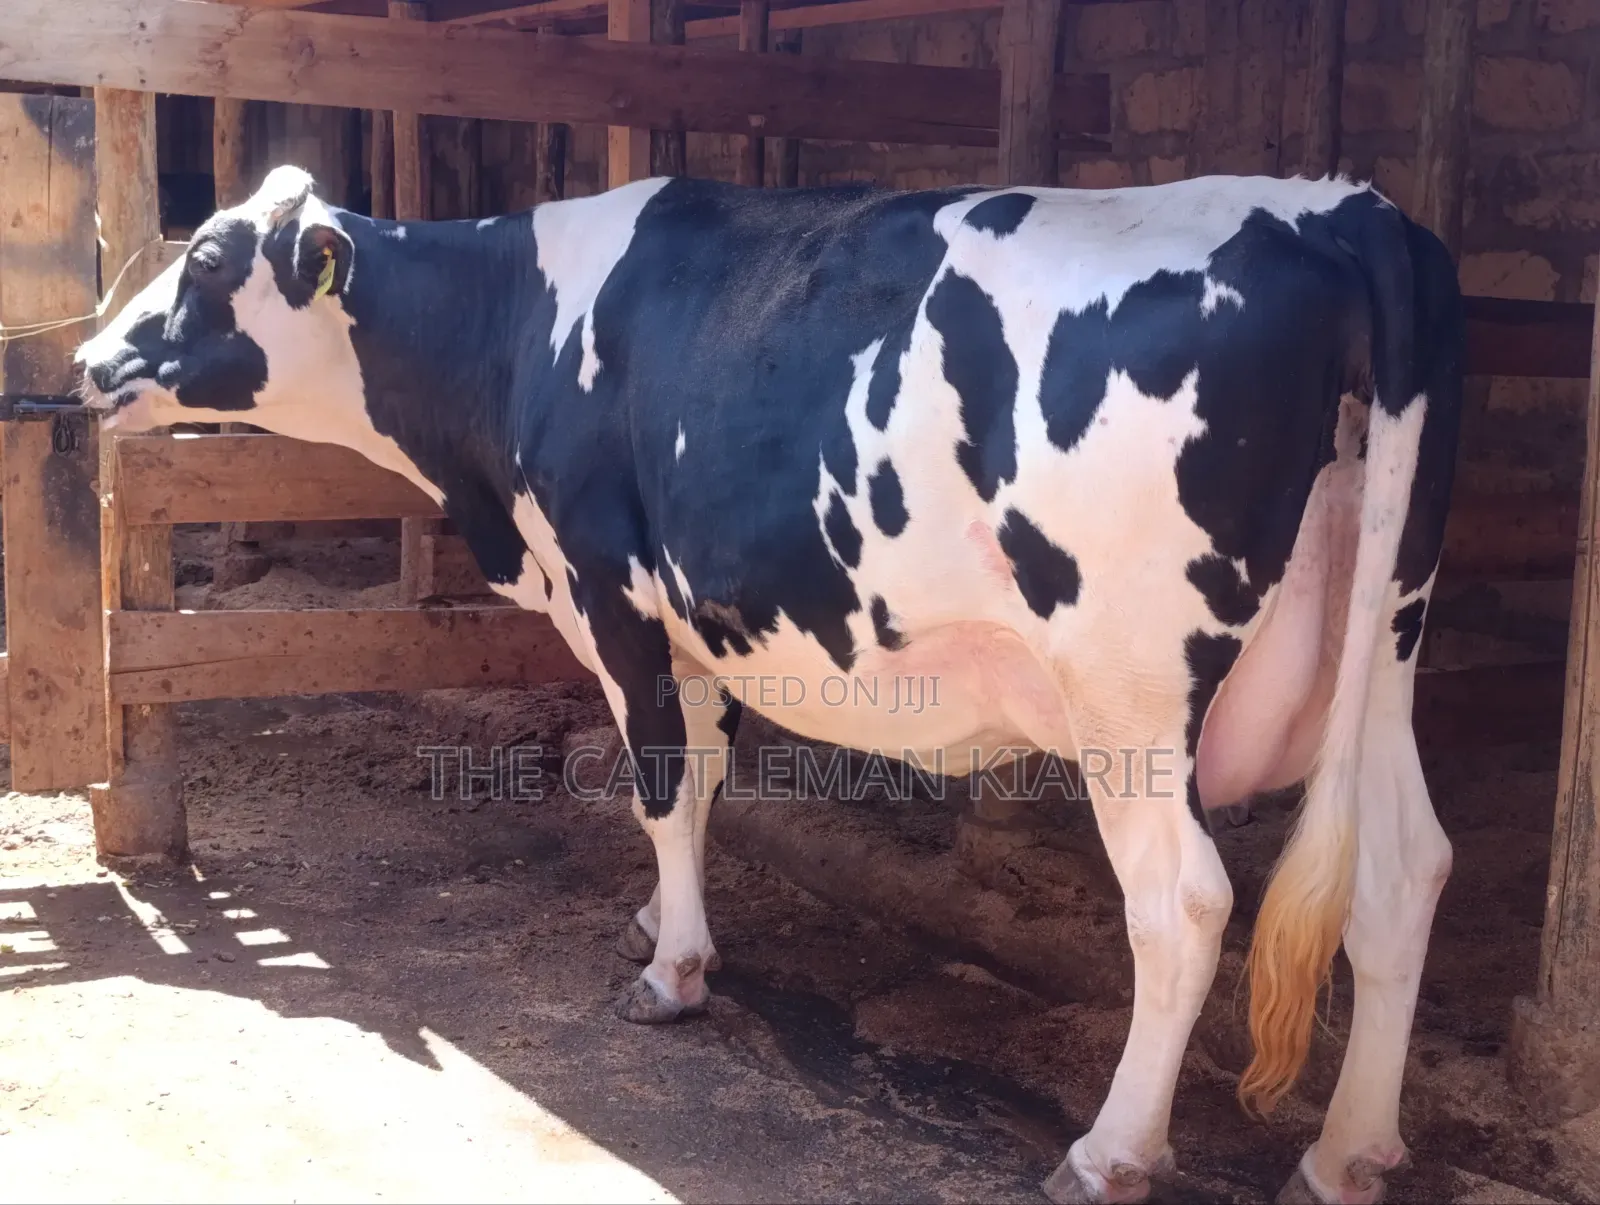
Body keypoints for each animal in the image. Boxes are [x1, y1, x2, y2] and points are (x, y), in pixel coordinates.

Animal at [77, 164, 1464, 1205]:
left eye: (210, 258)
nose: (88, 361)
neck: (514, 330)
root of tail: (1339, 209)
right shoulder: (693, 622)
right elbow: (697, 778)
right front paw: (663, 921)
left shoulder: (612, 589)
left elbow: (654, 778)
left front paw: (672, 972)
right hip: (1383, 641)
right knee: (1404, 873)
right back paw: (1346, 1151)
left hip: (1130, 687)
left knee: (1182, 901)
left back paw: (1110, 1150)